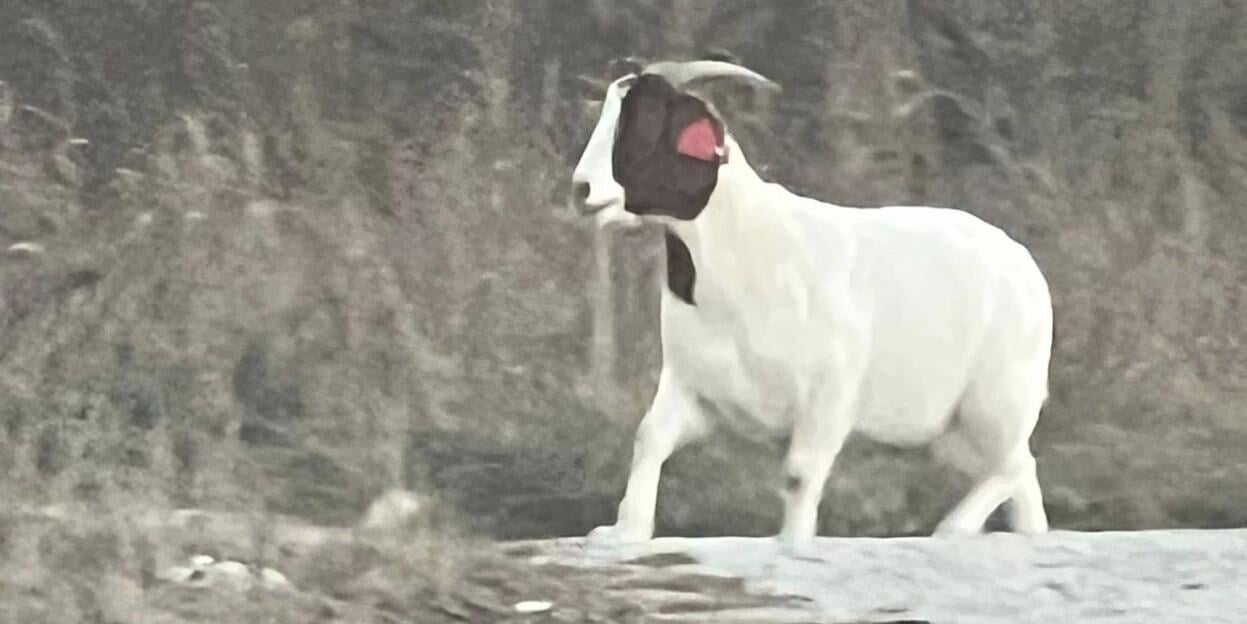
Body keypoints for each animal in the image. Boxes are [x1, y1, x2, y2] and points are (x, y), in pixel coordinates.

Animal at [570, 60, 1053, 549]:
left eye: (649, 121)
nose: (582, 189)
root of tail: (1022, 258)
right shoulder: (692, 384)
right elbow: (649, 439)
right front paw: (624, 530)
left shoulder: (829, 395)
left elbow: (799, 475)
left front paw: (792, 540)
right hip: (953, 428)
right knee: (1021, 477)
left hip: (997, 399)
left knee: (1015, 465)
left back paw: (955, 528)